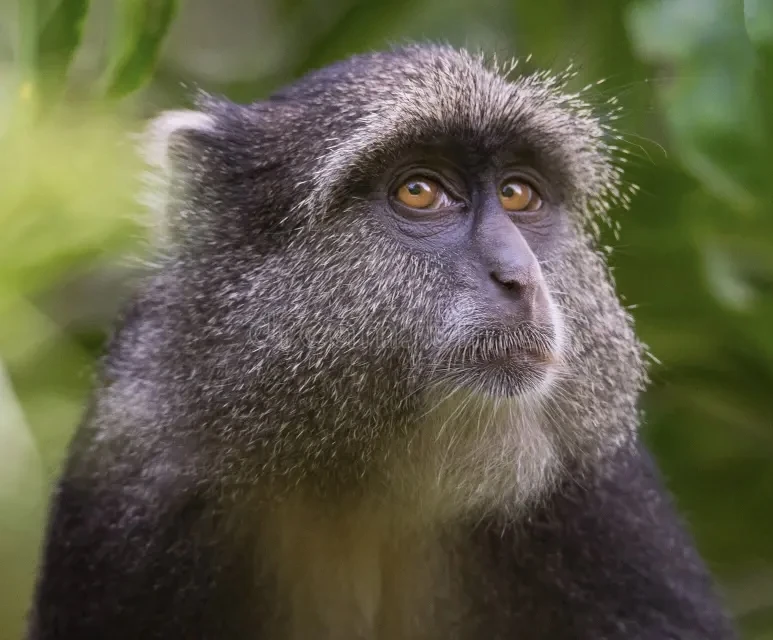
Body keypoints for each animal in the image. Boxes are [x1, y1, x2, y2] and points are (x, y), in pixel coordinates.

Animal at [26, 44, 737, 640]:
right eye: (419, 191)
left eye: (517, 193)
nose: (521, 275)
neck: (358, 476)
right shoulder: (132, 468)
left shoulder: (597, 487)